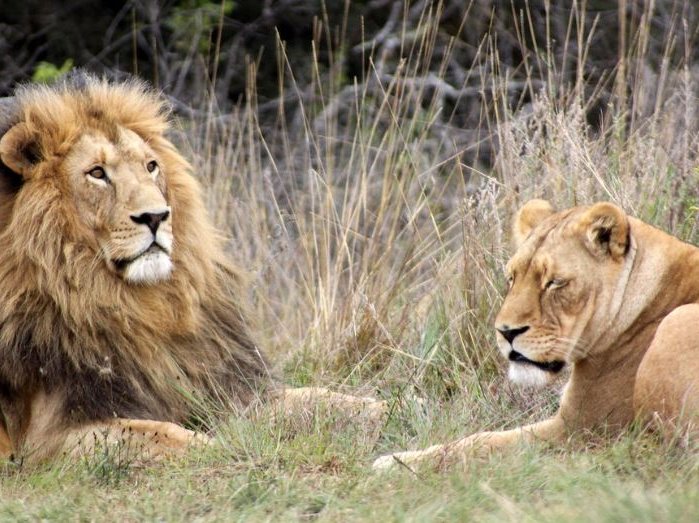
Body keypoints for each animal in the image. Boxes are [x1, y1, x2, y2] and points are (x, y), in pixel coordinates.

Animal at [0, 72, 384, 463]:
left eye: (150, 166)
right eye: (97, 173)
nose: (156, 216)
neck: (140, 308)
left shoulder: (224, 388)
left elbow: (319, 398)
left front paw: (387, 408)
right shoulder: (50, 439)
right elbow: (165, 435)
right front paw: (227, 450)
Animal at [374, 199, 699, 471]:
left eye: (554, 282)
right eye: (512, 277)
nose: (507, 332)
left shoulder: (580, 427)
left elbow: (479, 441)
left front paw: (395, 462)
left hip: (677, 324)